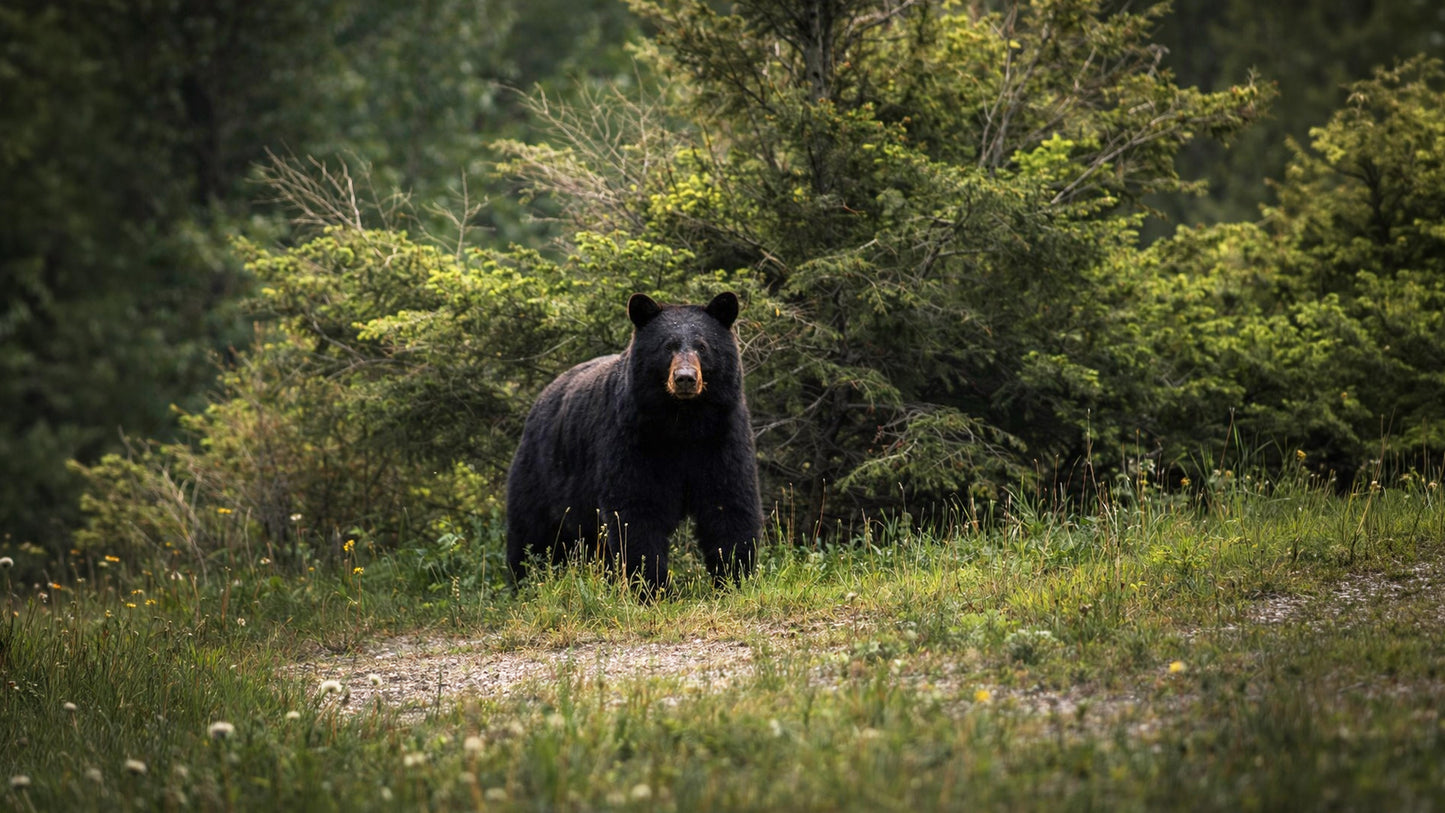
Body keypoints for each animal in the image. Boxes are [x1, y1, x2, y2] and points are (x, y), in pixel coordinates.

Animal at [505, 291, 762, 596]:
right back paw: (523, 583)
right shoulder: (631, 438)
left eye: (702, 346)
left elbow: (728, 502)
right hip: (541, 473)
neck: (683, 424)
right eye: (668, 346)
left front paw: (735, 577)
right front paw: (653, 587)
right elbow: (636, 509)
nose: (685, 378)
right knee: (532, 533)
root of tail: (541, 397)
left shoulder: (722, 436)